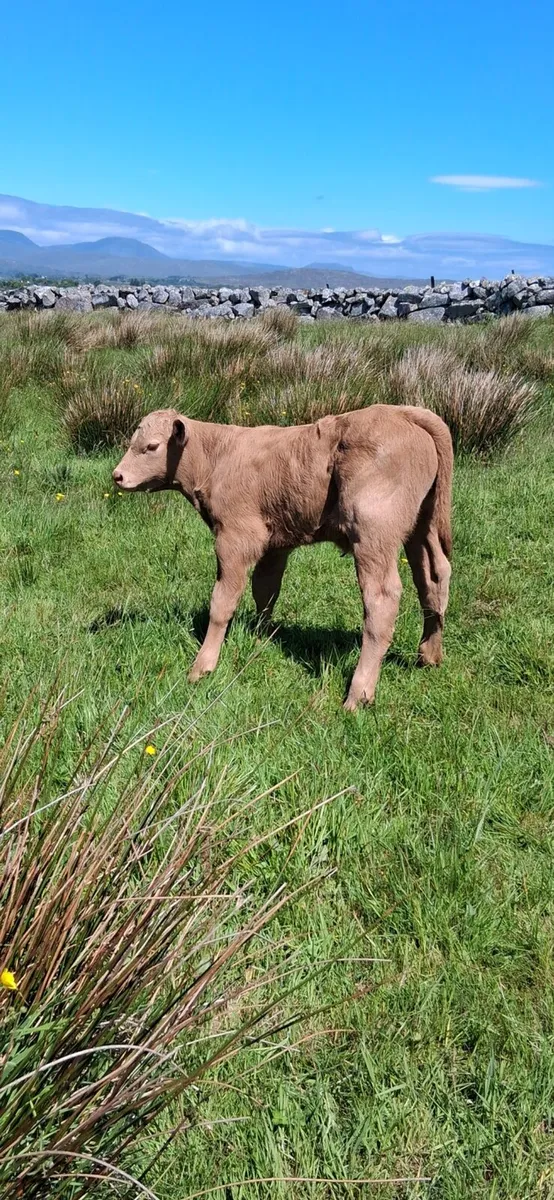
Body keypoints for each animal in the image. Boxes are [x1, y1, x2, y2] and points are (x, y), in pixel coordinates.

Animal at [113, 404, 453, 710]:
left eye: (151, 446)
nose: (117, 476)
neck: (218, 456)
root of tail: (402, 412)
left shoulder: (235, 537)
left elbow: (222, 603)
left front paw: (203, 665)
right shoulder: (274, 544)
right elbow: (265, 591)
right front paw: (259, 640)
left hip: (373, 533)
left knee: (381, 599)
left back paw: (359, 693)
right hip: (421, 525)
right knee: (433, 578)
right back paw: (430, 655)